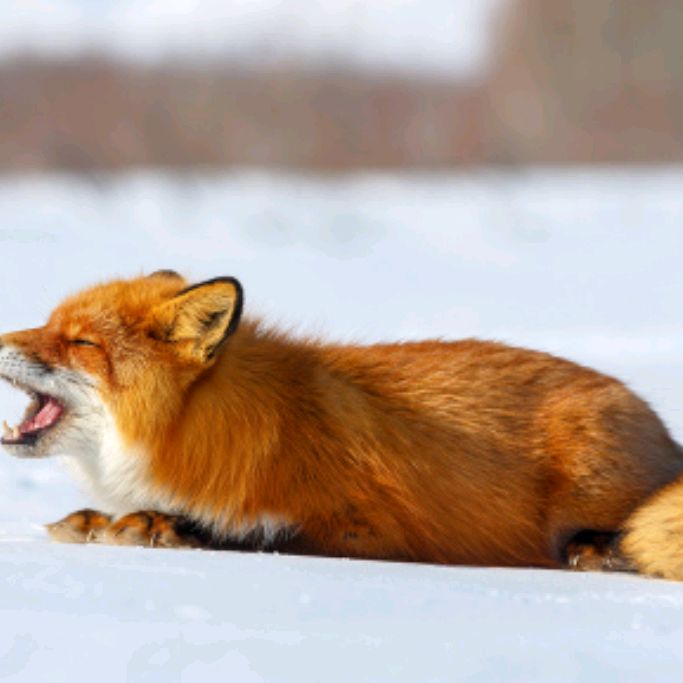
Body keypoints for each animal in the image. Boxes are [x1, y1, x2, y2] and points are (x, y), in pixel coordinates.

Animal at [0, 270, 683, 580]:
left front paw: (161, 527)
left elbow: (258, 536)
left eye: (81, 343)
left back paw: (603, 549)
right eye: (49, 325)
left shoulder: (373, 530)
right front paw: (101, 521)